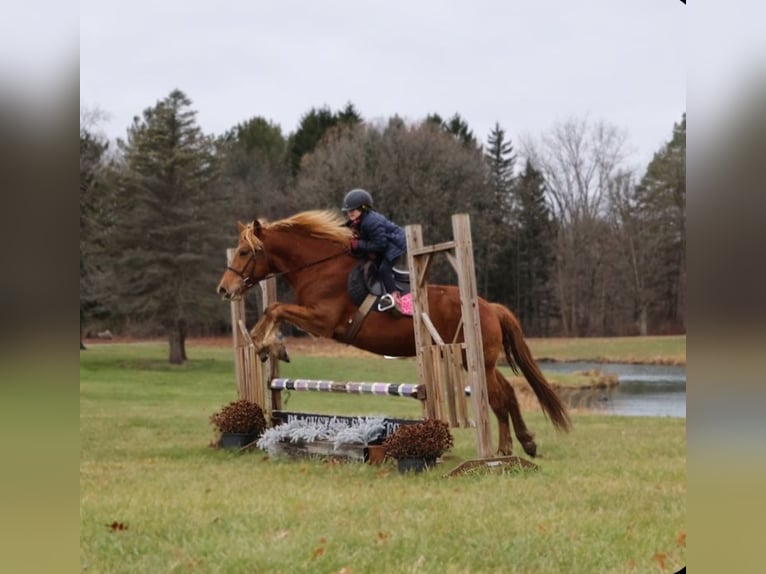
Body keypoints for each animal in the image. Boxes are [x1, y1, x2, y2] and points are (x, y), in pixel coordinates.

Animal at [216, 210, 571, 456]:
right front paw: (266, 344)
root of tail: (488, 306)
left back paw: (504, 450)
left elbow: (275, 309)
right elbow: (272, 309)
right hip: (479, 361)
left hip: (474, 359)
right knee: (507, 393)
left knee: (497, 399)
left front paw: (264, 344)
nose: (224, 289)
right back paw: (524, 444)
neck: (318, 267)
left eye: (245, 253)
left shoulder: (324, 321)